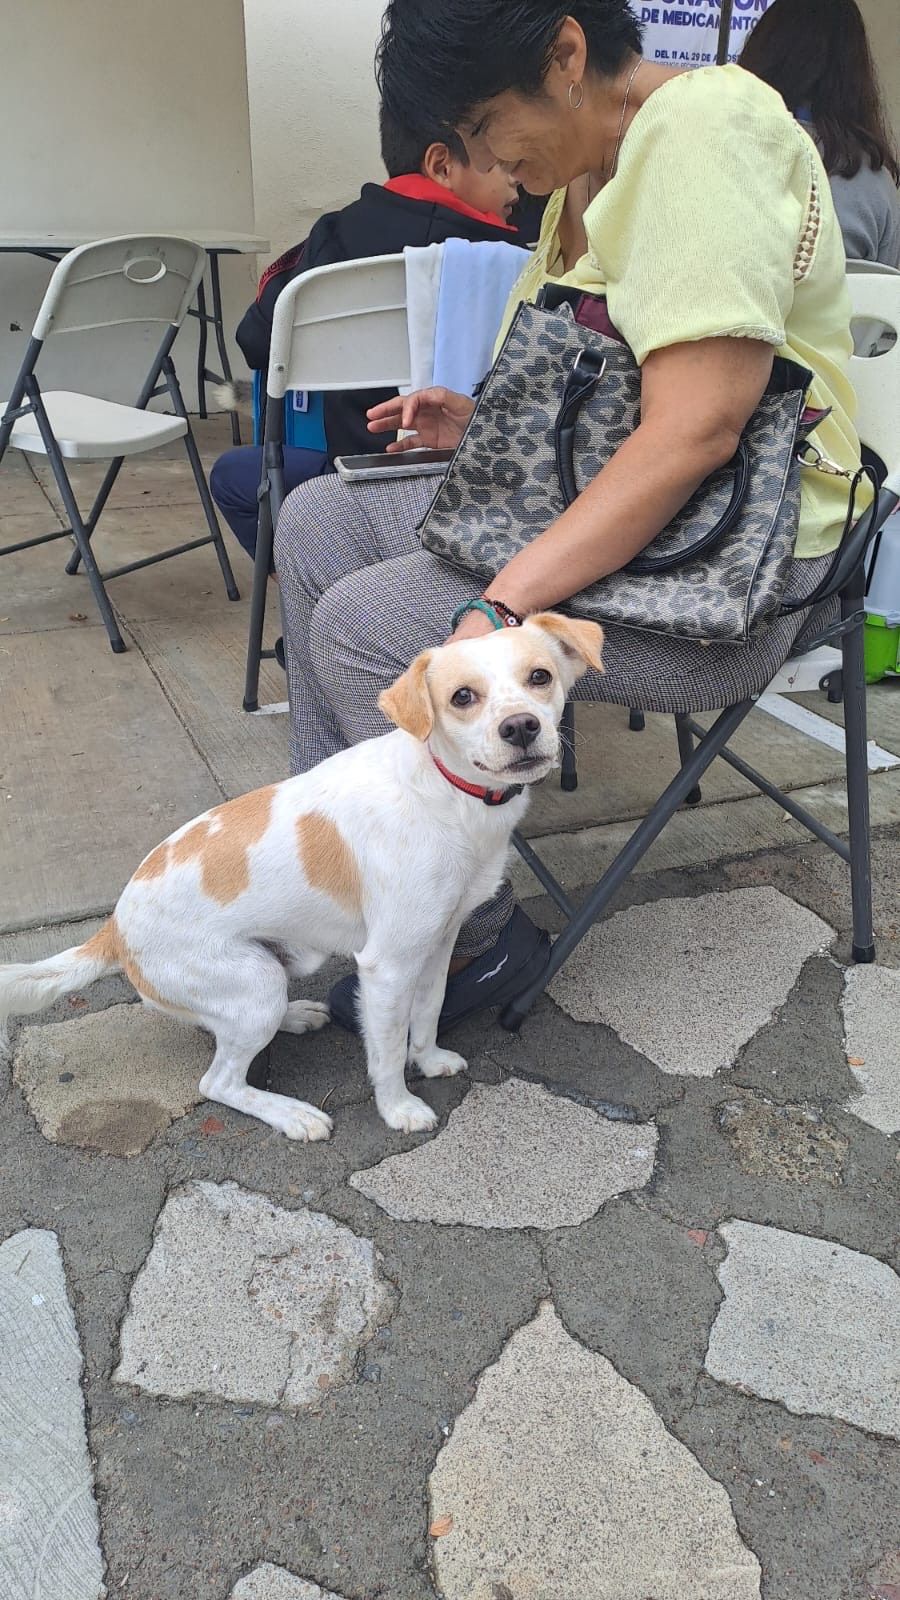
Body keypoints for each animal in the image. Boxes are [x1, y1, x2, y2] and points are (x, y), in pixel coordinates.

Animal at [0, 614, 602, 1141]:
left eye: (540, 677)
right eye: (462, 697)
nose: (521, 727)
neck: (448, 793)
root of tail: (113, 929)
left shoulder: (438, 942)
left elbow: (427, 1014)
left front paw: (428, 1060)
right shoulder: (386, 967)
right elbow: (386, 1051)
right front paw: (399, 1109)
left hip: (264, 977)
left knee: (218, 1032)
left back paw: (296, 1017)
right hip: (254, 984)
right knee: (218, 1081)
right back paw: (291, 1114)